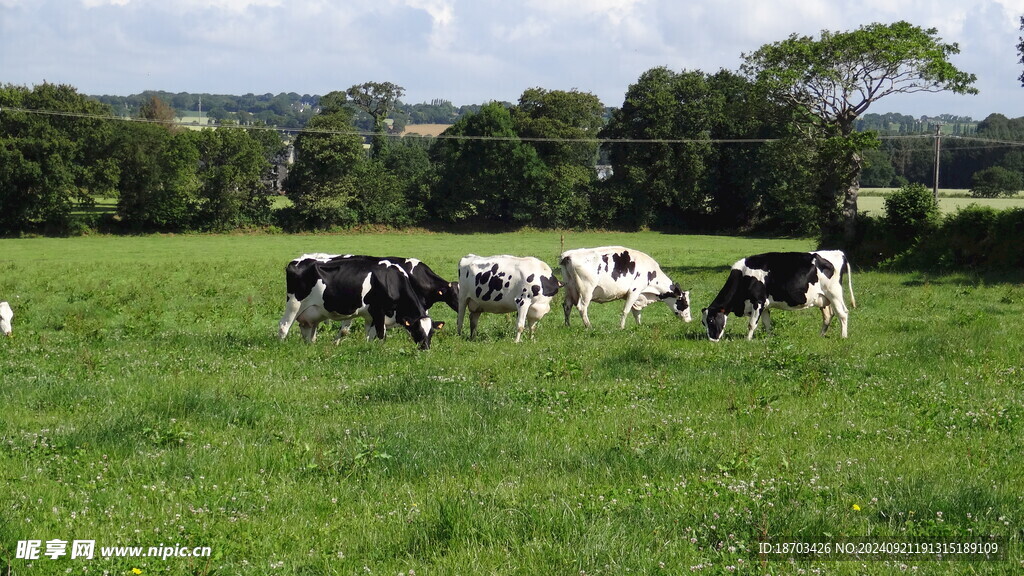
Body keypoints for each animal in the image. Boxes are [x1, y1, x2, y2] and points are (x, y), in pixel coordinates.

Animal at [278, 253, 442, 348]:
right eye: (418, 330)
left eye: (431, 333)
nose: (425, 349)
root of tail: (296, 261)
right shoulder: (378, 311)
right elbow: (381, 334)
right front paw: (381, 350)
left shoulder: (371, 316)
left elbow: (370, 335)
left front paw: (369, 348)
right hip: (294, 303)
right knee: (284, 326)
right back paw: (282, 347)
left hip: (311, 313)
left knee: (308, 331)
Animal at [561, 245, 696, 330]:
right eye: (685, 303)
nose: (690, 320)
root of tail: (569, 255)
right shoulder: (634, 292)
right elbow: (626, 311)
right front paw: (621, 327)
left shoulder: (639, 296)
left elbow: (637, 312)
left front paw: (639, 326)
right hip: (586, 290)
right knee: (582, 307)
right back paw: (589, 326)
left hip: (569, 288)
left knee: (567, 305)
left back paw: (568, 325)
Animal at [700, 248, 860, 338]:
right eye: (703, 322)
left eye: (711, 320)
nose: (712, 340)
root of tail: (837, 252)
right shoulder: (765, 305)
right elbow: (767, 324)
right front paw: (769, 339)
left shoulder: (758, 301)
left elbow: (752, 324)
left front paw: (747, 340)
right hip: (823, 298)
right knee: (828, 316)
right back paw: (820, 336)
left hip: (834, 293)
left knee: (843, 314)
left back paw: (843, 337)